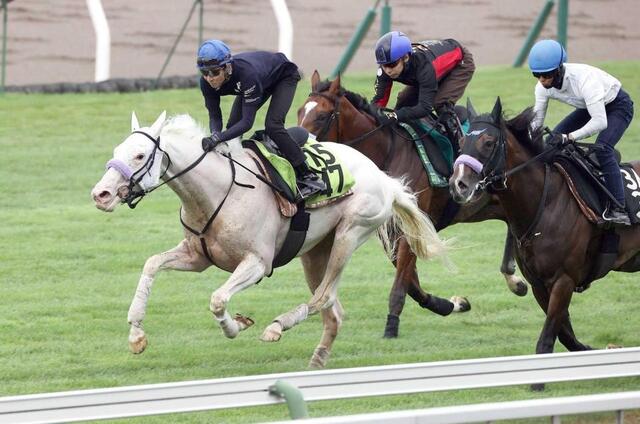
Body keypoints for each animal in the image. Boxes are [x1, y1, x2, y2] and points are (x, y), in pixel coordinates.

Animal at [90, 111, 447, 368]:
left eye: (139, 156)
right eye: (117, 151)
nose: (100, 194)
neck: (218, 191)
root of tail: (386, 180)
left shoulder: (257, 263)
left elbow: (217, 299)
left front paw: (237, 325)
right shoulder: (197, 257)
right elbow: (151, 265)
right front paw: (136, 335)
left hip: (350, 234)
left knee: (324, 297)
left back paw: (276, 327)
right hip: (315, 252)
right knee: (334, 310)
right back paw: (317, 359)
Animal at [297, 71, 526, 338]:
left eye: (322, 116)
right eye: (299, 111)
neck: (387, 153)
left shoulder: (408, 227)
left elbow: (402, 281)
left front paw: (391, 326)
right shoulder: (391, 231)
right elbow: (411, 281)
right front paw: (450, 304)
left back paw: (514, 279)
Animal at [449, 98, 640, 380]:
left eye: (488, 142)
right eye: (462, 142)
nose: (458, 184)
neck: (546, 200)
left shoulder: (564, 279)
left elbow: (549, 335)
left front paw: (537, 384)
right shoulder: (539, 283)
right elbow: (564, 333)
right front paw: (591, 351)